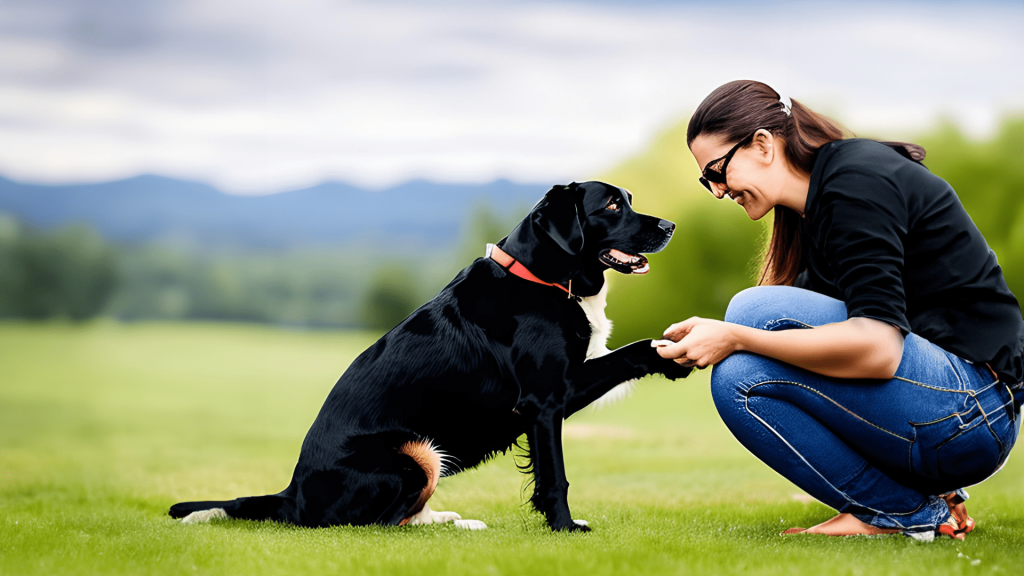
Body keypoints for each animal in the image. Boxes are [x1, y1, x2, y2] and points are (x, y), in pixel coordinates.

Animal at [172, 179, 692, 528]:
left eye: (629, 200)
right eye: (612, 204)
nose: (670, 224)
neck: (542, 276)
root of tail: (291, 495)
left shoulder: (560, 389)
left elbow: (627, 354)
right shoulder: (545, 399)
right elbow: (556, 476)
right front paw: (565, 528)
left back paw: (454, 521)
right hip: (413, 455)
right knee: (380, 525)